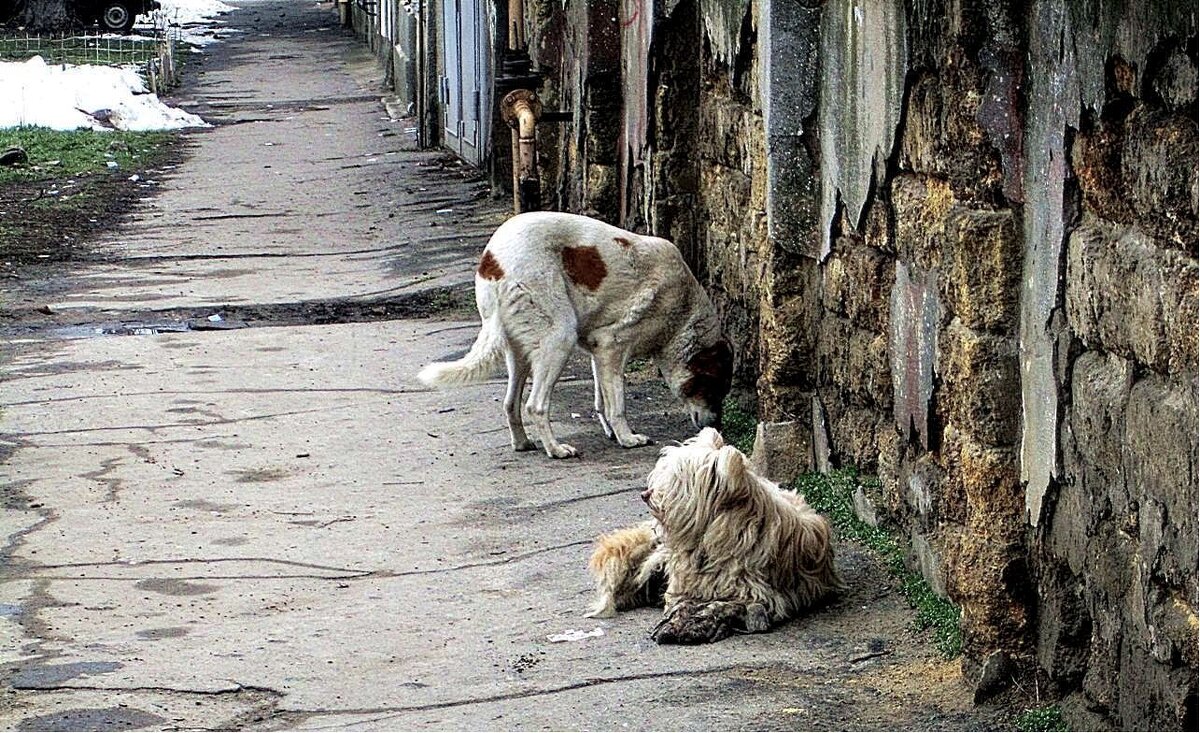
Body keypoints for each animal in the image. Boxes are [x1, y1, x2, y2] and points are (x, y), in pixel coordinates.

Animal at [417, 209, 729, 455]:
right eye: (714, 389)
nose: (717, 427)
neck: (683, 312)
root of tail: (492, 262)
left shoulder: (599, 351)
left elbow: (602, 400)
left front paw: (612, 433)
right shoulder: (612, 347)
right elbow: (617, 404)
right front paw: (628, 439)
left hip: (520, 353)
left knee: (510, 403)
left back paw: (523, 443)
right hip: (559, 338)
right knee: (535, 406)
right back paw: (555, 450)